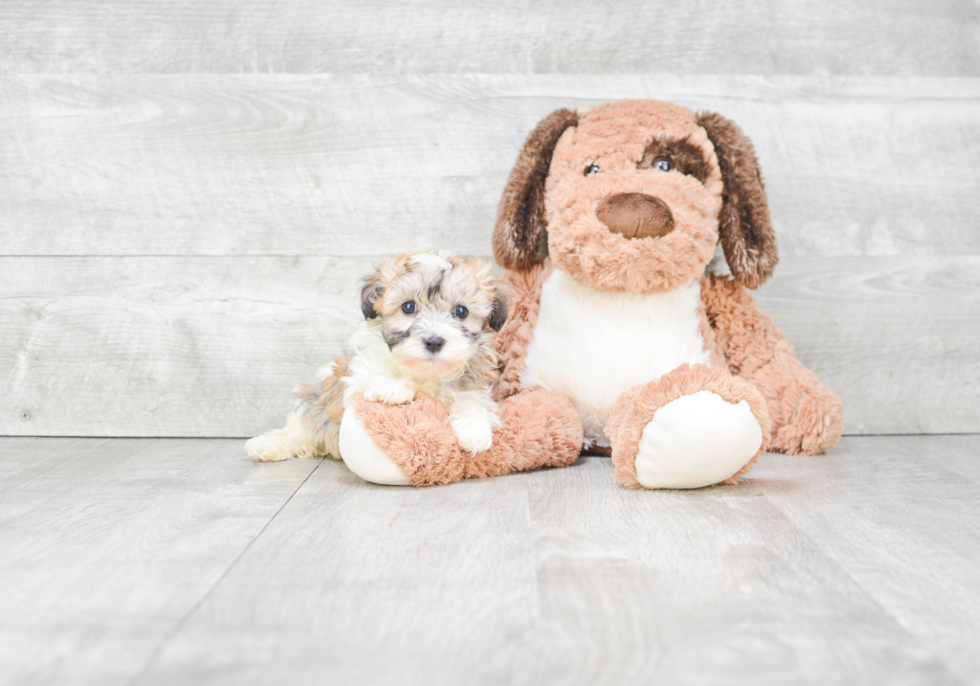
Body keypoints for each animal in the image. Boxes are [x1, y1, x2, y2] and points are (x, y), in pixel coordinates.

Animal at [245, 254, 510, 468]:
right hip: (314, 401)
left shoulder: (475, 382)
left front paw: (474, 429)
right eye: (408, 307)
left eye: (461, 311)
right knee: (301, 432)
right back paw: (268, 446)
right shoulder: (354, 375)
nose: (434, 341)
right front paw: (392, 388)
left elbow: (470, 398)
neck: (424, 372)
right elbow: (371, 374)